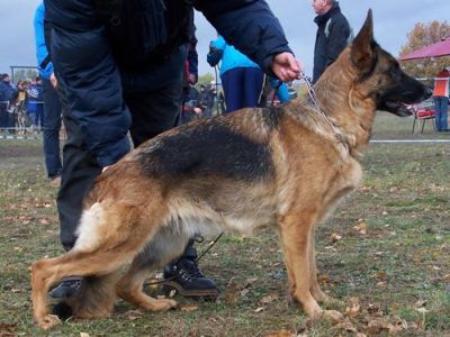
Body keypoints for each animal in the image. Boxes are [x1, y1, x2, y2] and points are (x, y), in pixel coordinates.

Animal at [31, 11, 432, 328]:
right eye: (395, 70)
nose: (430, 90)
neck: (329, 121)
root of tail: (108, 175)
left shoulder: (304, 229)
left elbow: (310, 270)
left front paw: (322, 302)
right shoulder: (297, 224)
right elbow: (304, 275)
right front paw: (315, 312)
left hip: (165, 244)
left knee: (124, 284)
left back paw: (157, 305)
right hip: (119, 245)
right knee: (45, 268)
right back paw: (43, 318)